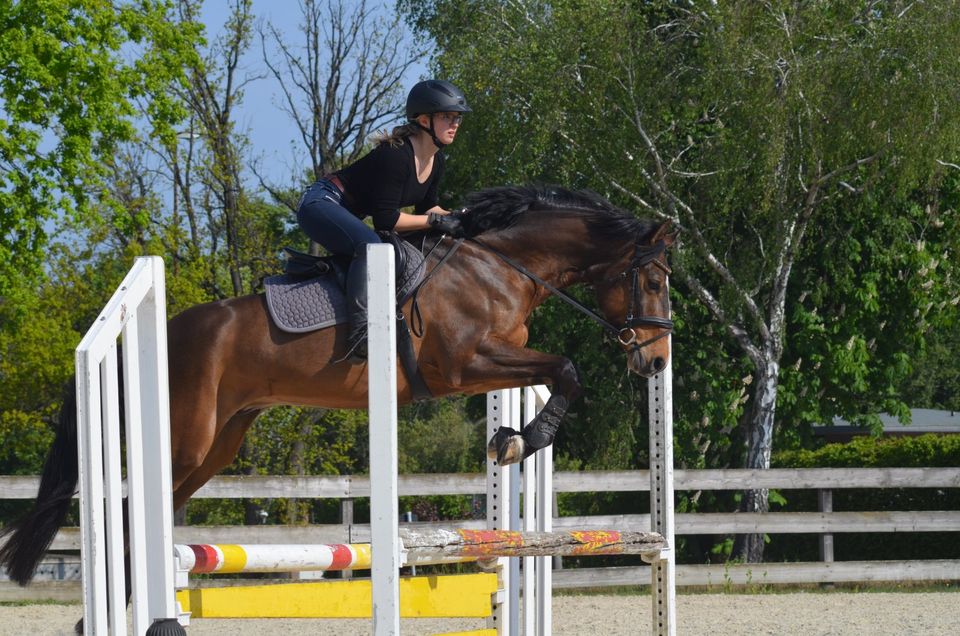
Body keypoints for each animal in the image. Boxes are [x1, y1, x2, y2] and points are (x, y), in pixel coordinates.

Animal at [0, 184, 676, 592]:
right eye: (653, 281)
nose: (657, 361)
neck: (498, 266)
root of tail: (162, 328)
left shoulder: (499, 359)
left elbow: (558, 372)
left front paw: (511, 437)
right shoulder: (466, 363)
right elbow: (567, 369)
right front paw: (516, 440)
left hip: (219, 442)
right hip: (185, 439)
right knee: (127, 519)